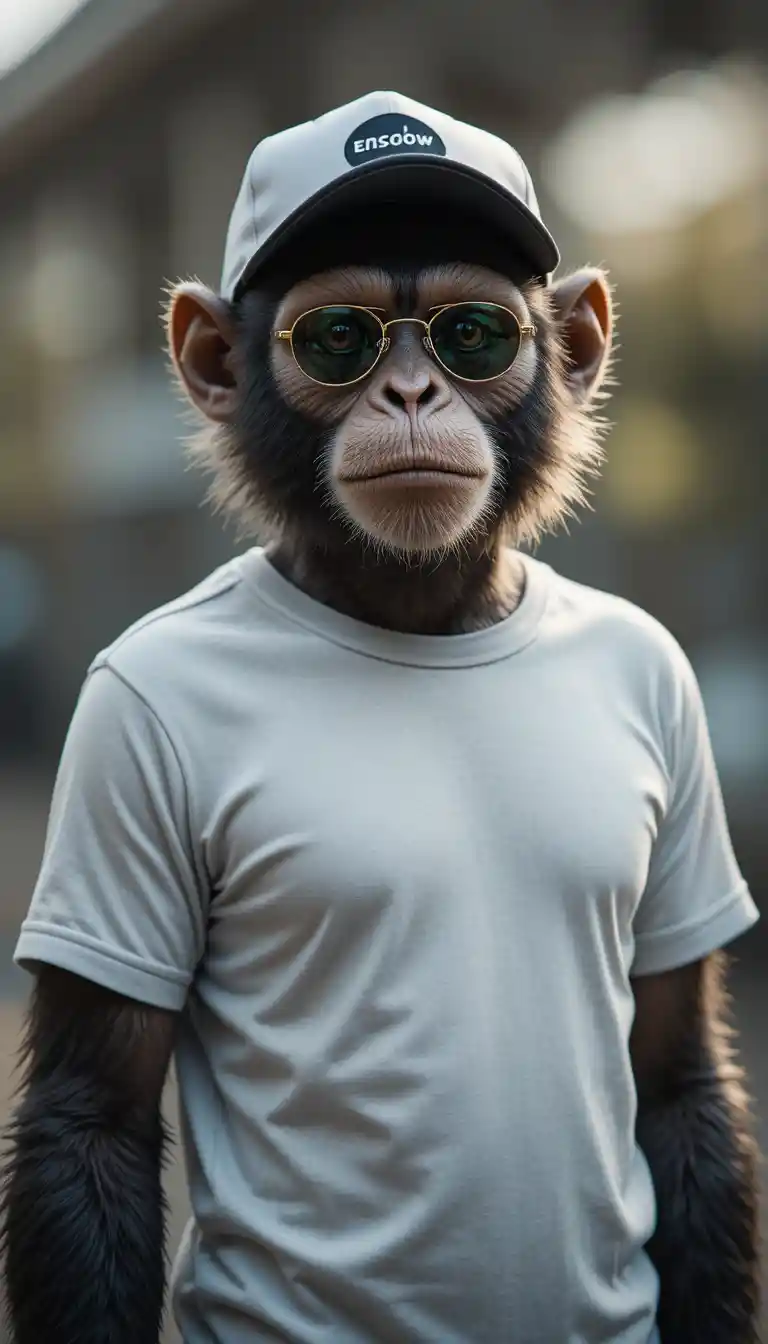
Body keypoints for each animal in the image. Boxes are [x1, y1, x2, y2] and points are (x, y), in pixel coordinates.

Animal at [1, 93, 760, 1344]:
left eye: (474, 334)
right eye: (337, 338)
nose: (411, 393)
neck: (421, 617)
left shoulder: (670, 687)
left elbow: (677, 1068)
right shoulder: (120, 725)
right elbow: (91, 1116)